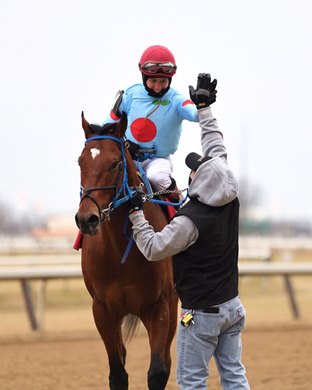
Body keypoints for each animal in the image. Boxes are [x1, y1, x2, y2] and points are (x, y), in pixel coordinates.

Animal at [73, 112, 178, 390]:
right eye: (80, 162)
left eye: (115, 163)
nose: (86, 219)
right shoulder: (103, 311)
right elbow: (118, 374)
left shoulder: (158, 307)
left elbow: (158, 371)